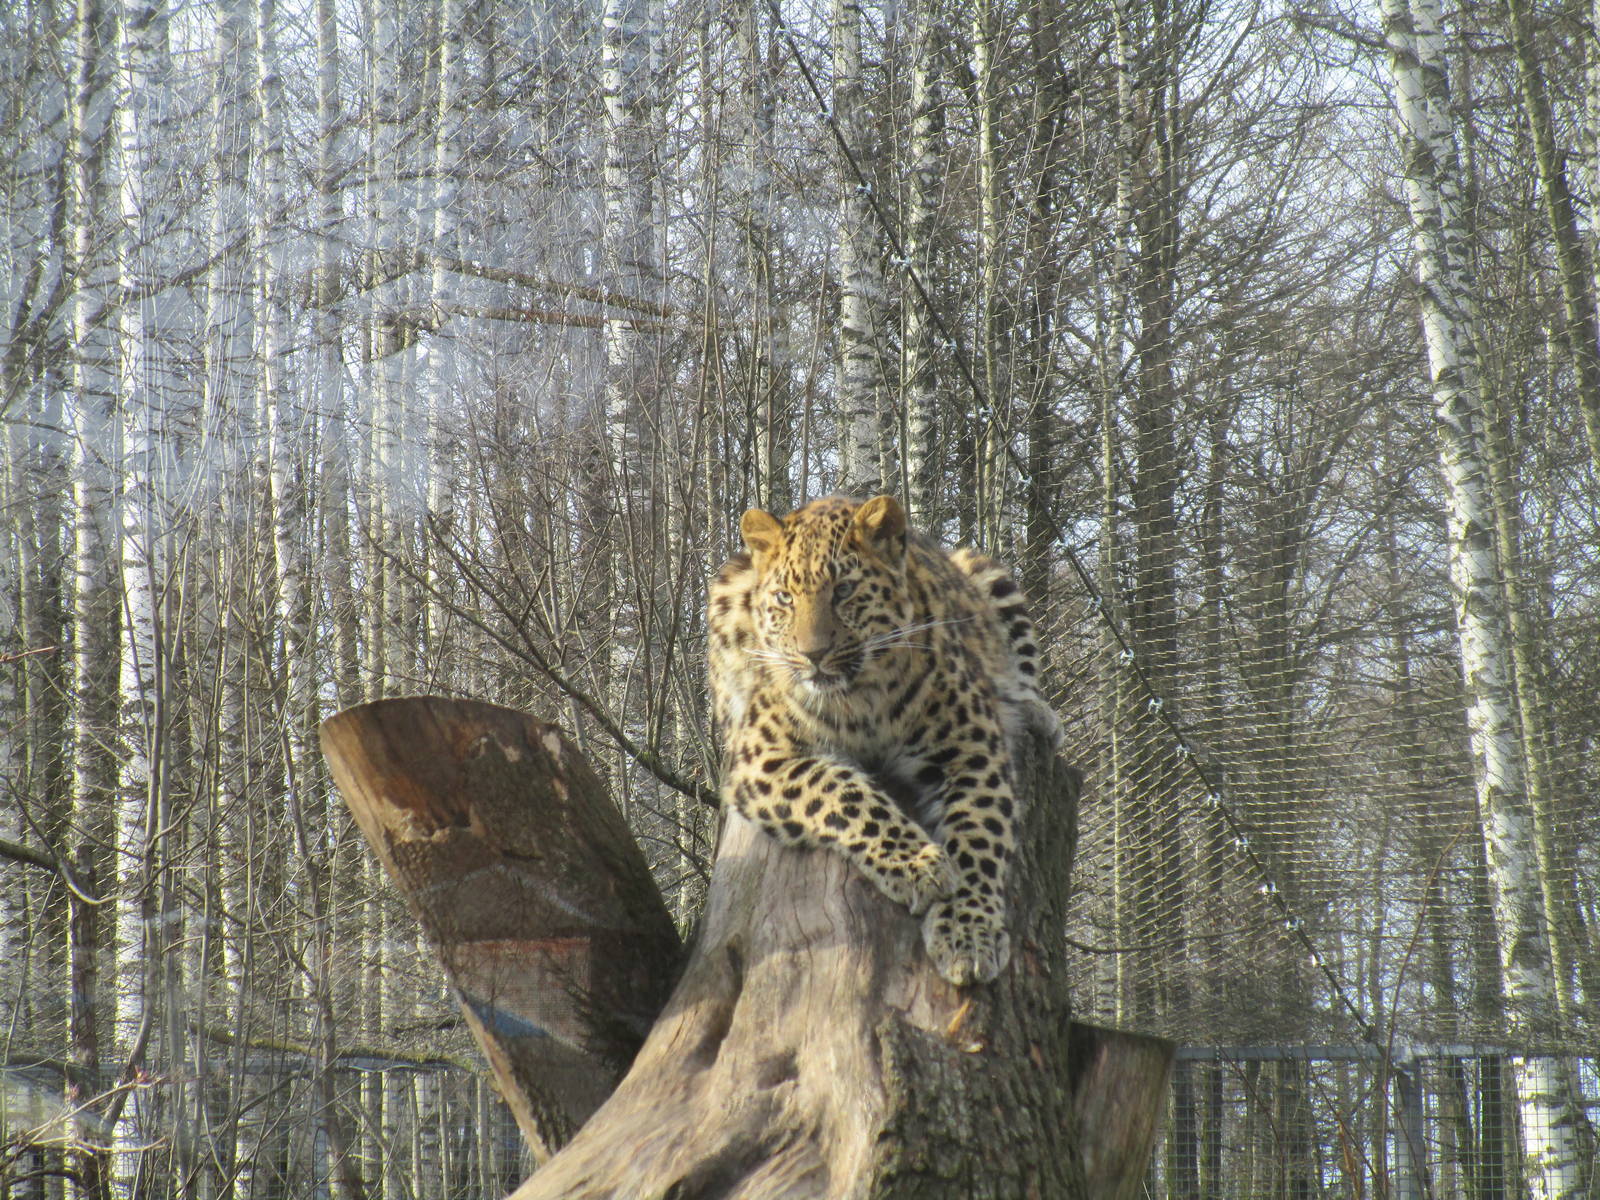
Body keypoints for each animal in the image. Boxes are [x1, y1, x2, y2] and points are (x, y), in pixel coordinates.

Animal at [707, 493, 1062, 986]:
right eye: (784, 598)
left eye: (843, 591)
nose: (812, 655)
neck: (858, 697)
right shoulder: (763, 757)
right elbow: (844, 793)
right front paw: (921, 866)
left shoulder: (972, 751)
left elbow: (979, 835)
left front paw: (968, 933)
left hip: (988, 571)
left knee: (1022, 667)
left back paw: (1034, 711)